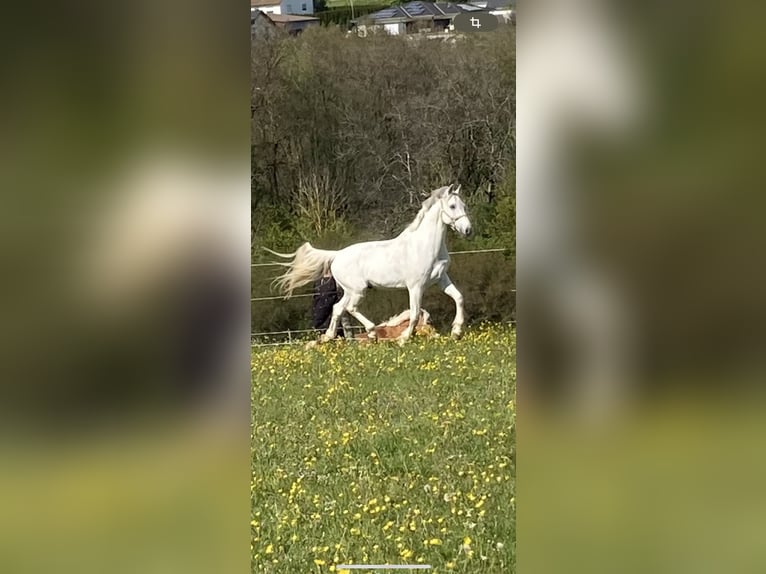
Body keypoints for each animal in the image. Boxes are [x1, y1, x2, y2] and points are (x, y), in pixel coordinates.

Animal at [265, 184, 472, 343]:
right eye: (452, 206)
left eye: (464, 205)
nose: (468, 230)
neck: (425, 246)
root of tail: (337, 255)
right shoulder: (416, 286)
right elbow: (414, 314)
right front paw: (404, 338)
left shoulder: (441, 279)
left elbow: (459, 298)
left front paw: (456, 332)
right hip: (358, 290)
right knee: (349, 308)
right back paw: (371, 332)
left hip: (349, 291)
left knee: (338, 308)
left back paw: (329, 337)